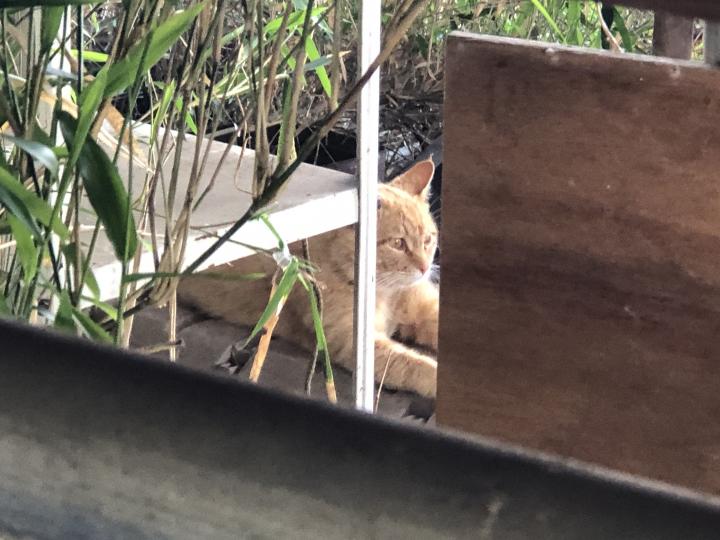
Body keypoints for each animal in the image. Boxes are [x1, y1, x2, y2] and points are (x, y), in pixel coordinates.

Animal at [178, 159, 439, 397]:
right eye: (398, 243)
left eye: (428, 239)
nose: (425, 267)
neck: (386, 293)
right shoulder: (356, 345)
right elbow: (415, 365)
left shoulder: (428, 307)